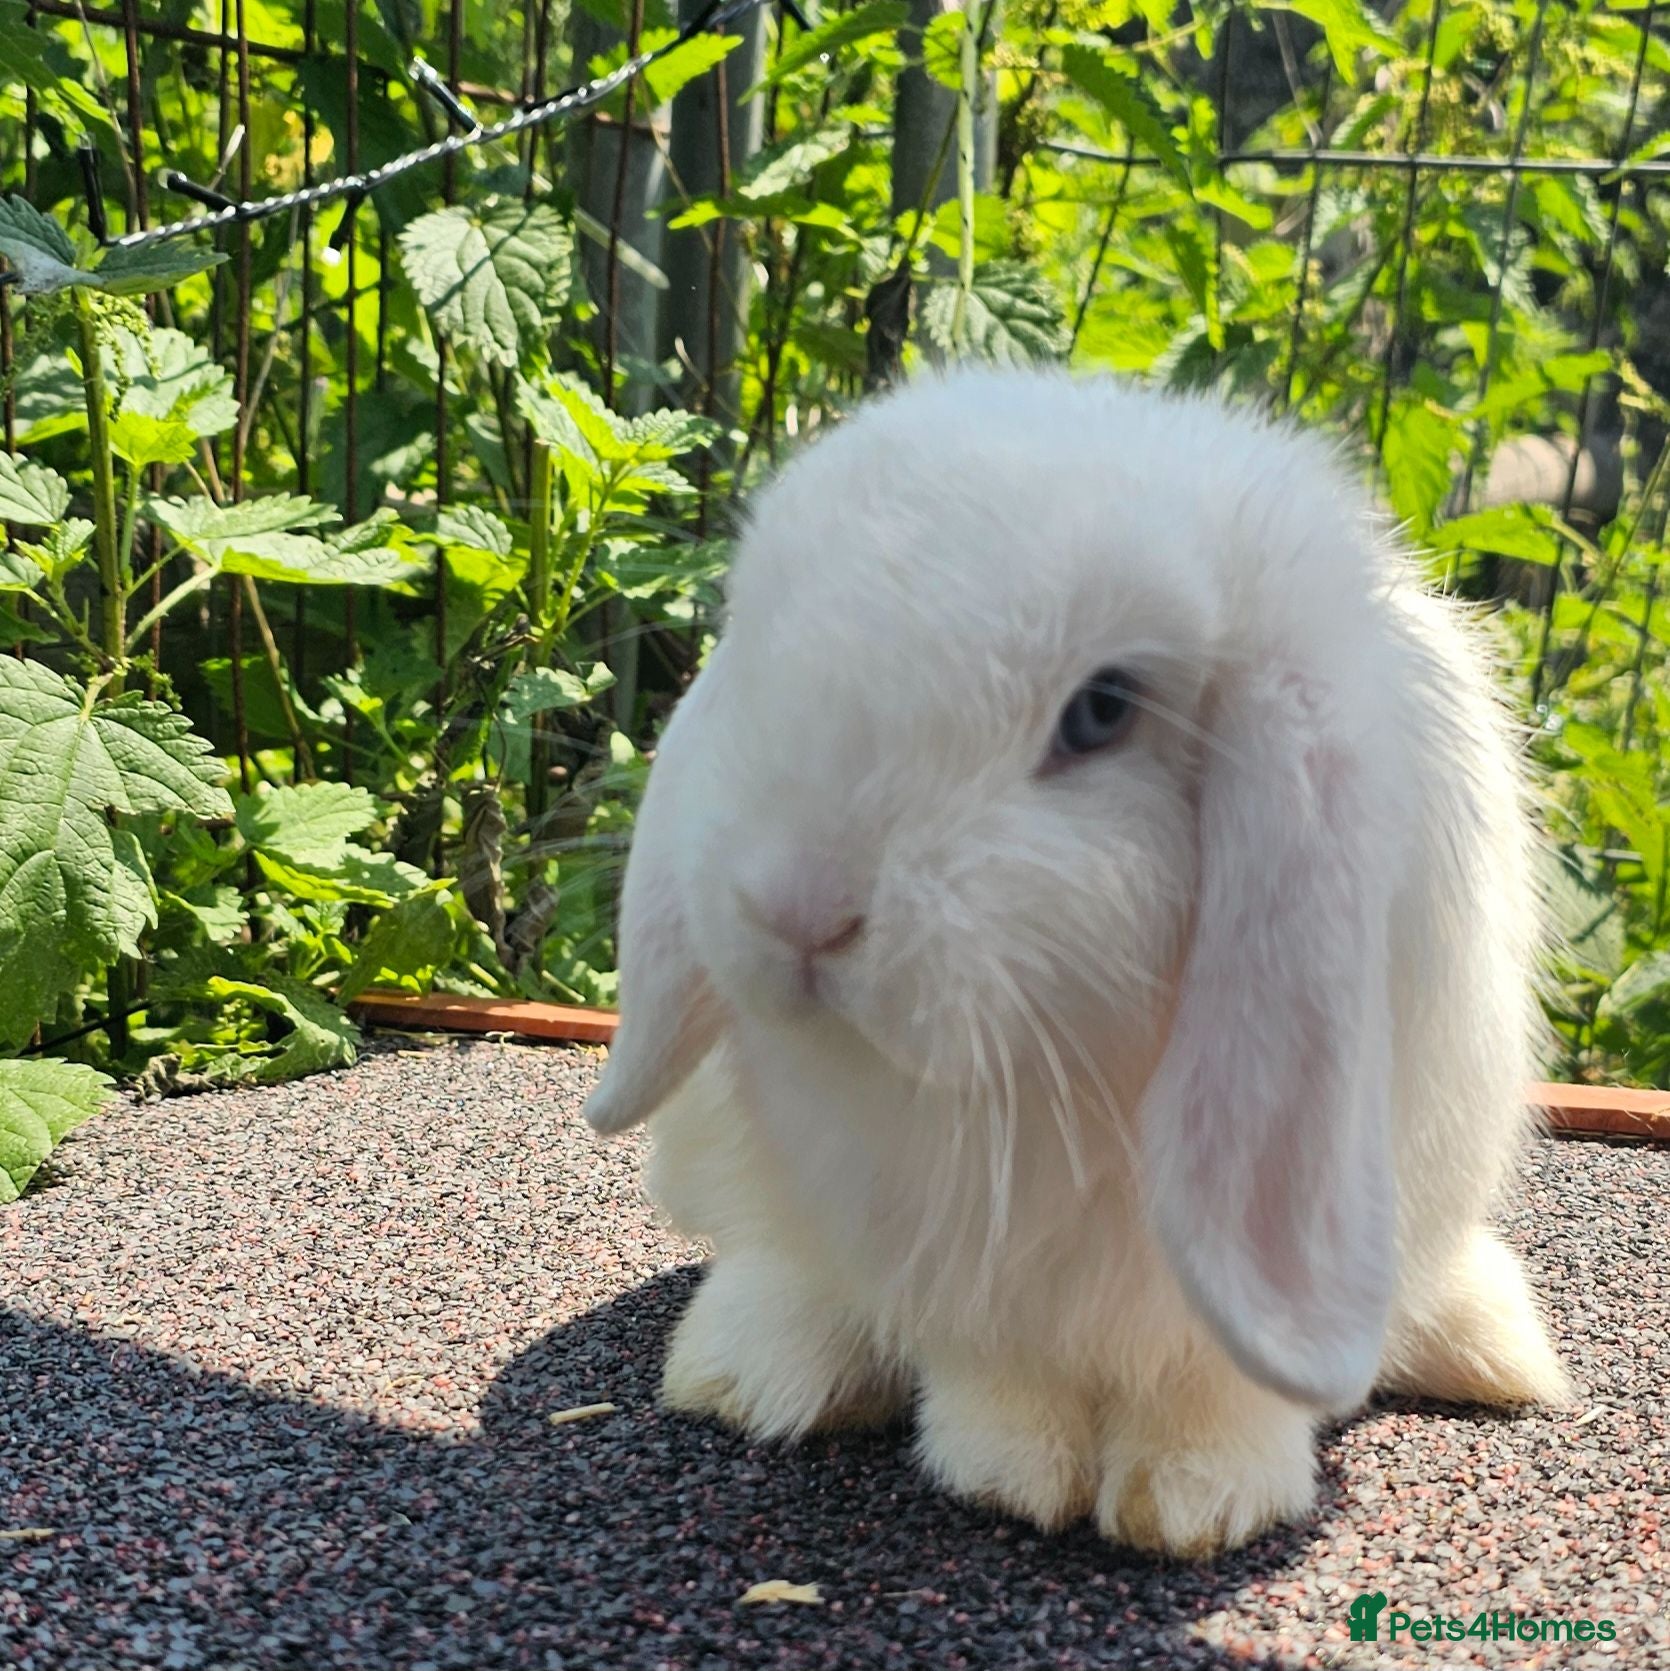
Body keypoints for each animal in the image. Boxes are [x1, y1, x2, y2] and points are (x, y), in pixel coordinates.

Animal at [581, 367, 1571, 1556]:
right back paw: (754, 1372)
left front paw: (1196, 1498)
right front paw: (1008, 1471)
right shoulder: (950, 1244)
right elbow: (991, 1361)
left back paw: (1494, 1349)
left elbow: (1220, 1377)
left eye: (1101, 711)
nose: (793, 908)